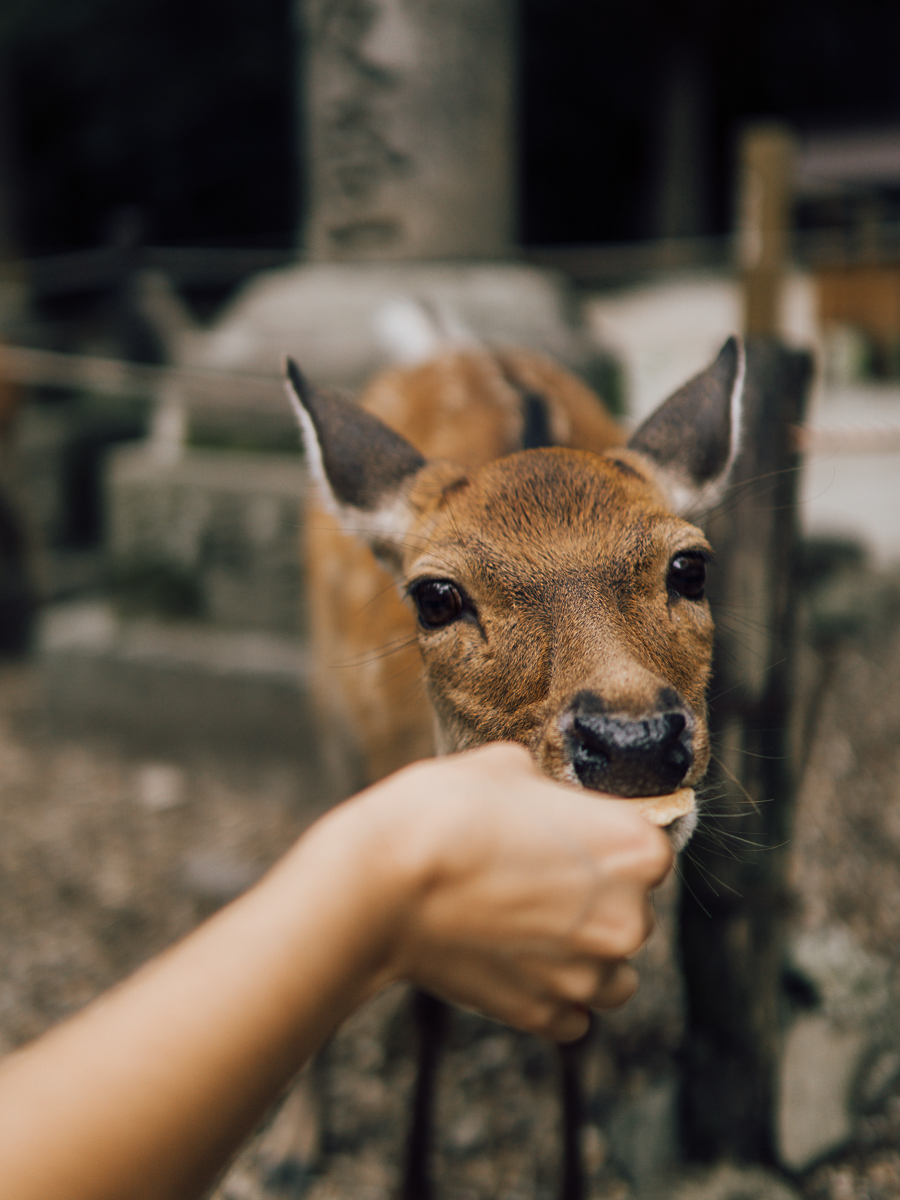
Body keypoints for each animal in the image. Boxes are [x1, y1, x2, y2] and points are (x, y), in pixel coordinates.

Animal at [284, 330, 745, 1198]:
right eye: (435, 597)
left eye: (691, 568)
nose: (634, 743)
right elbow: (429, 1002)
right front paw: (411, 1177)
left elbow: (579, 1028)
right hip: (327, 718)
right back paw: (297, 1146)